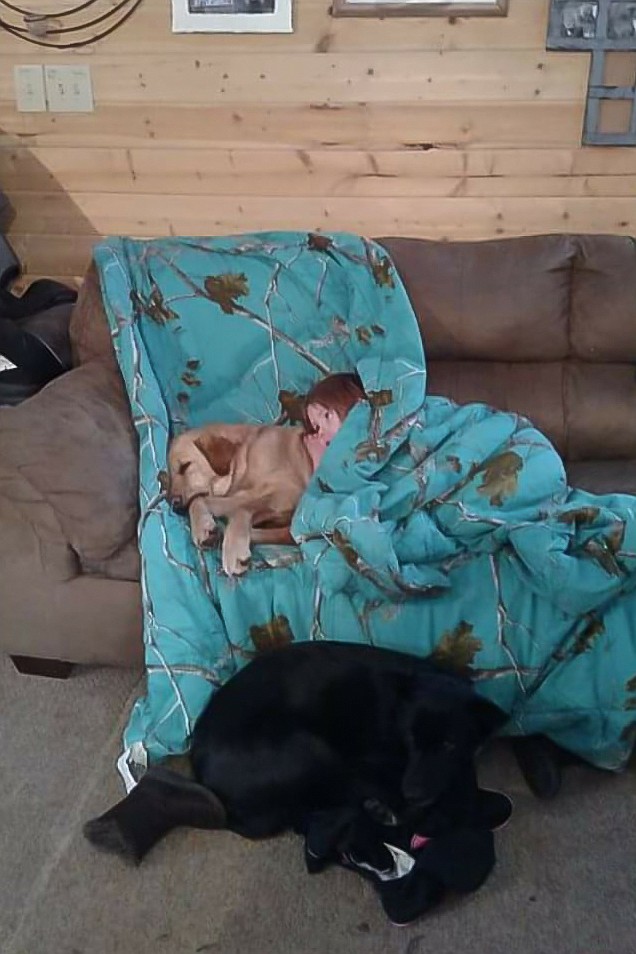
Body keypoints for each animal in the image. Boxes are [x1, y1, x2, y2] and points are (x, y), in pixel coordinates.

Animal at [84, 640, 504, 864]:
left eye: (448, 744)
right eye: (412, 739)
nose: (413, 791)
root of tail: (202, 769)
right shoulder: (372, 765)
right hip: (309, 749)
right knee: (320, 801)